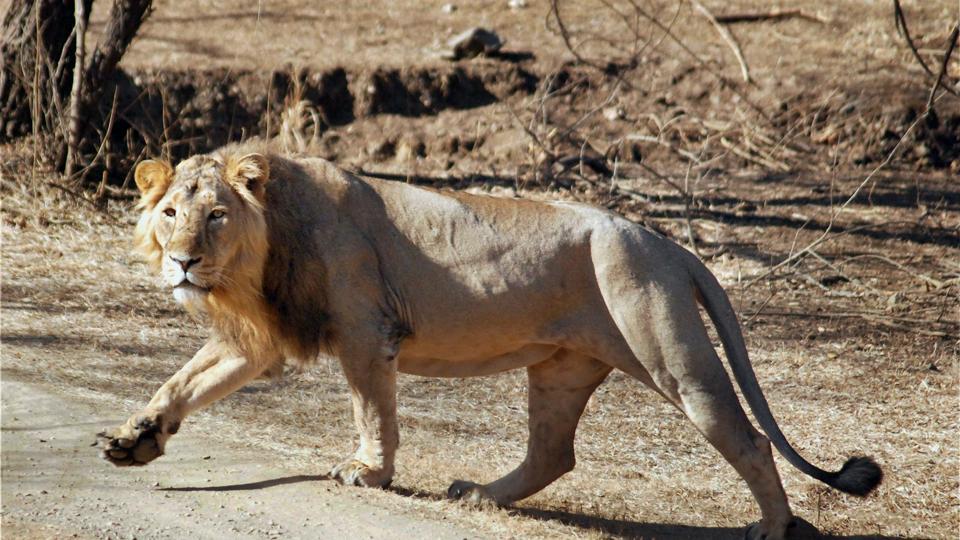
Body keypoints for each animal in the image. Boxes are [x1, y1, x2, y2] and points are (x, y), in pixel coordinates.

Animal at [101, 143, 880, 540]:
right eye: (169, 213)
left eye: (216, 216)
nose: (183, 262)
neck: (257, 261)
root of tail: (667, 242)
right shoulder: (258, 339)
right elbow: (182, 381)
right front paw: (135, 439)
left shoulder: (365, 331)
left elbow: (371, 410)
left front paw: (368, 473)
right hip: (563, 369)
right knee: (554, 453)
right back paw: (477, 495)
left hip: (672, 356)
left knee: (747, 439)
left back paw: (772, 529)